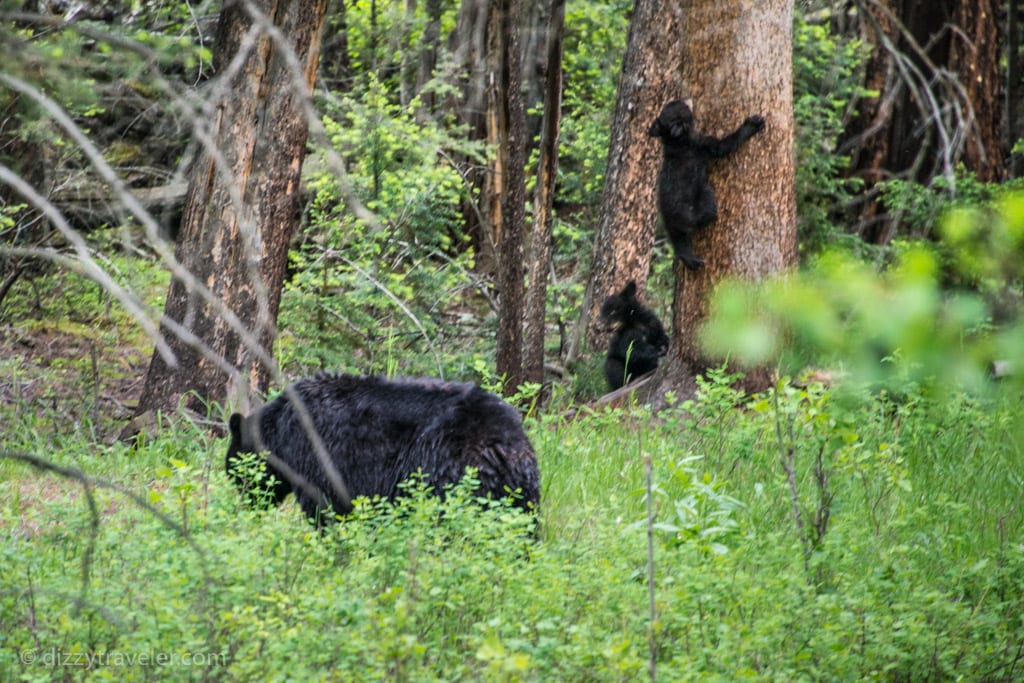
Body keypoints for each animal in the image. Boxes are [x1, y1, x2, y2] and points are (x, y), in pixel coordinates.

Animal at [226, 376, 544, 528]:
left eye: (231, 469)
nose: (246, 503)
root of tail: (508, 443)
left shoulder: (319, 460)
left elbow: (324, 509)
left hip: (450, 476)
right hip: (522, 494)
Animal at [651, 98, 765, 270]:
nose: (684, 99)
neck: (677, 142)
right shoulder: (702, 144)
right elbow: (723, 146)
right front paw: (753, 124)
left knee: (679, 237)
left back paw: (688, 258)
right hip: (688, 207)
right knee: (703, 211)